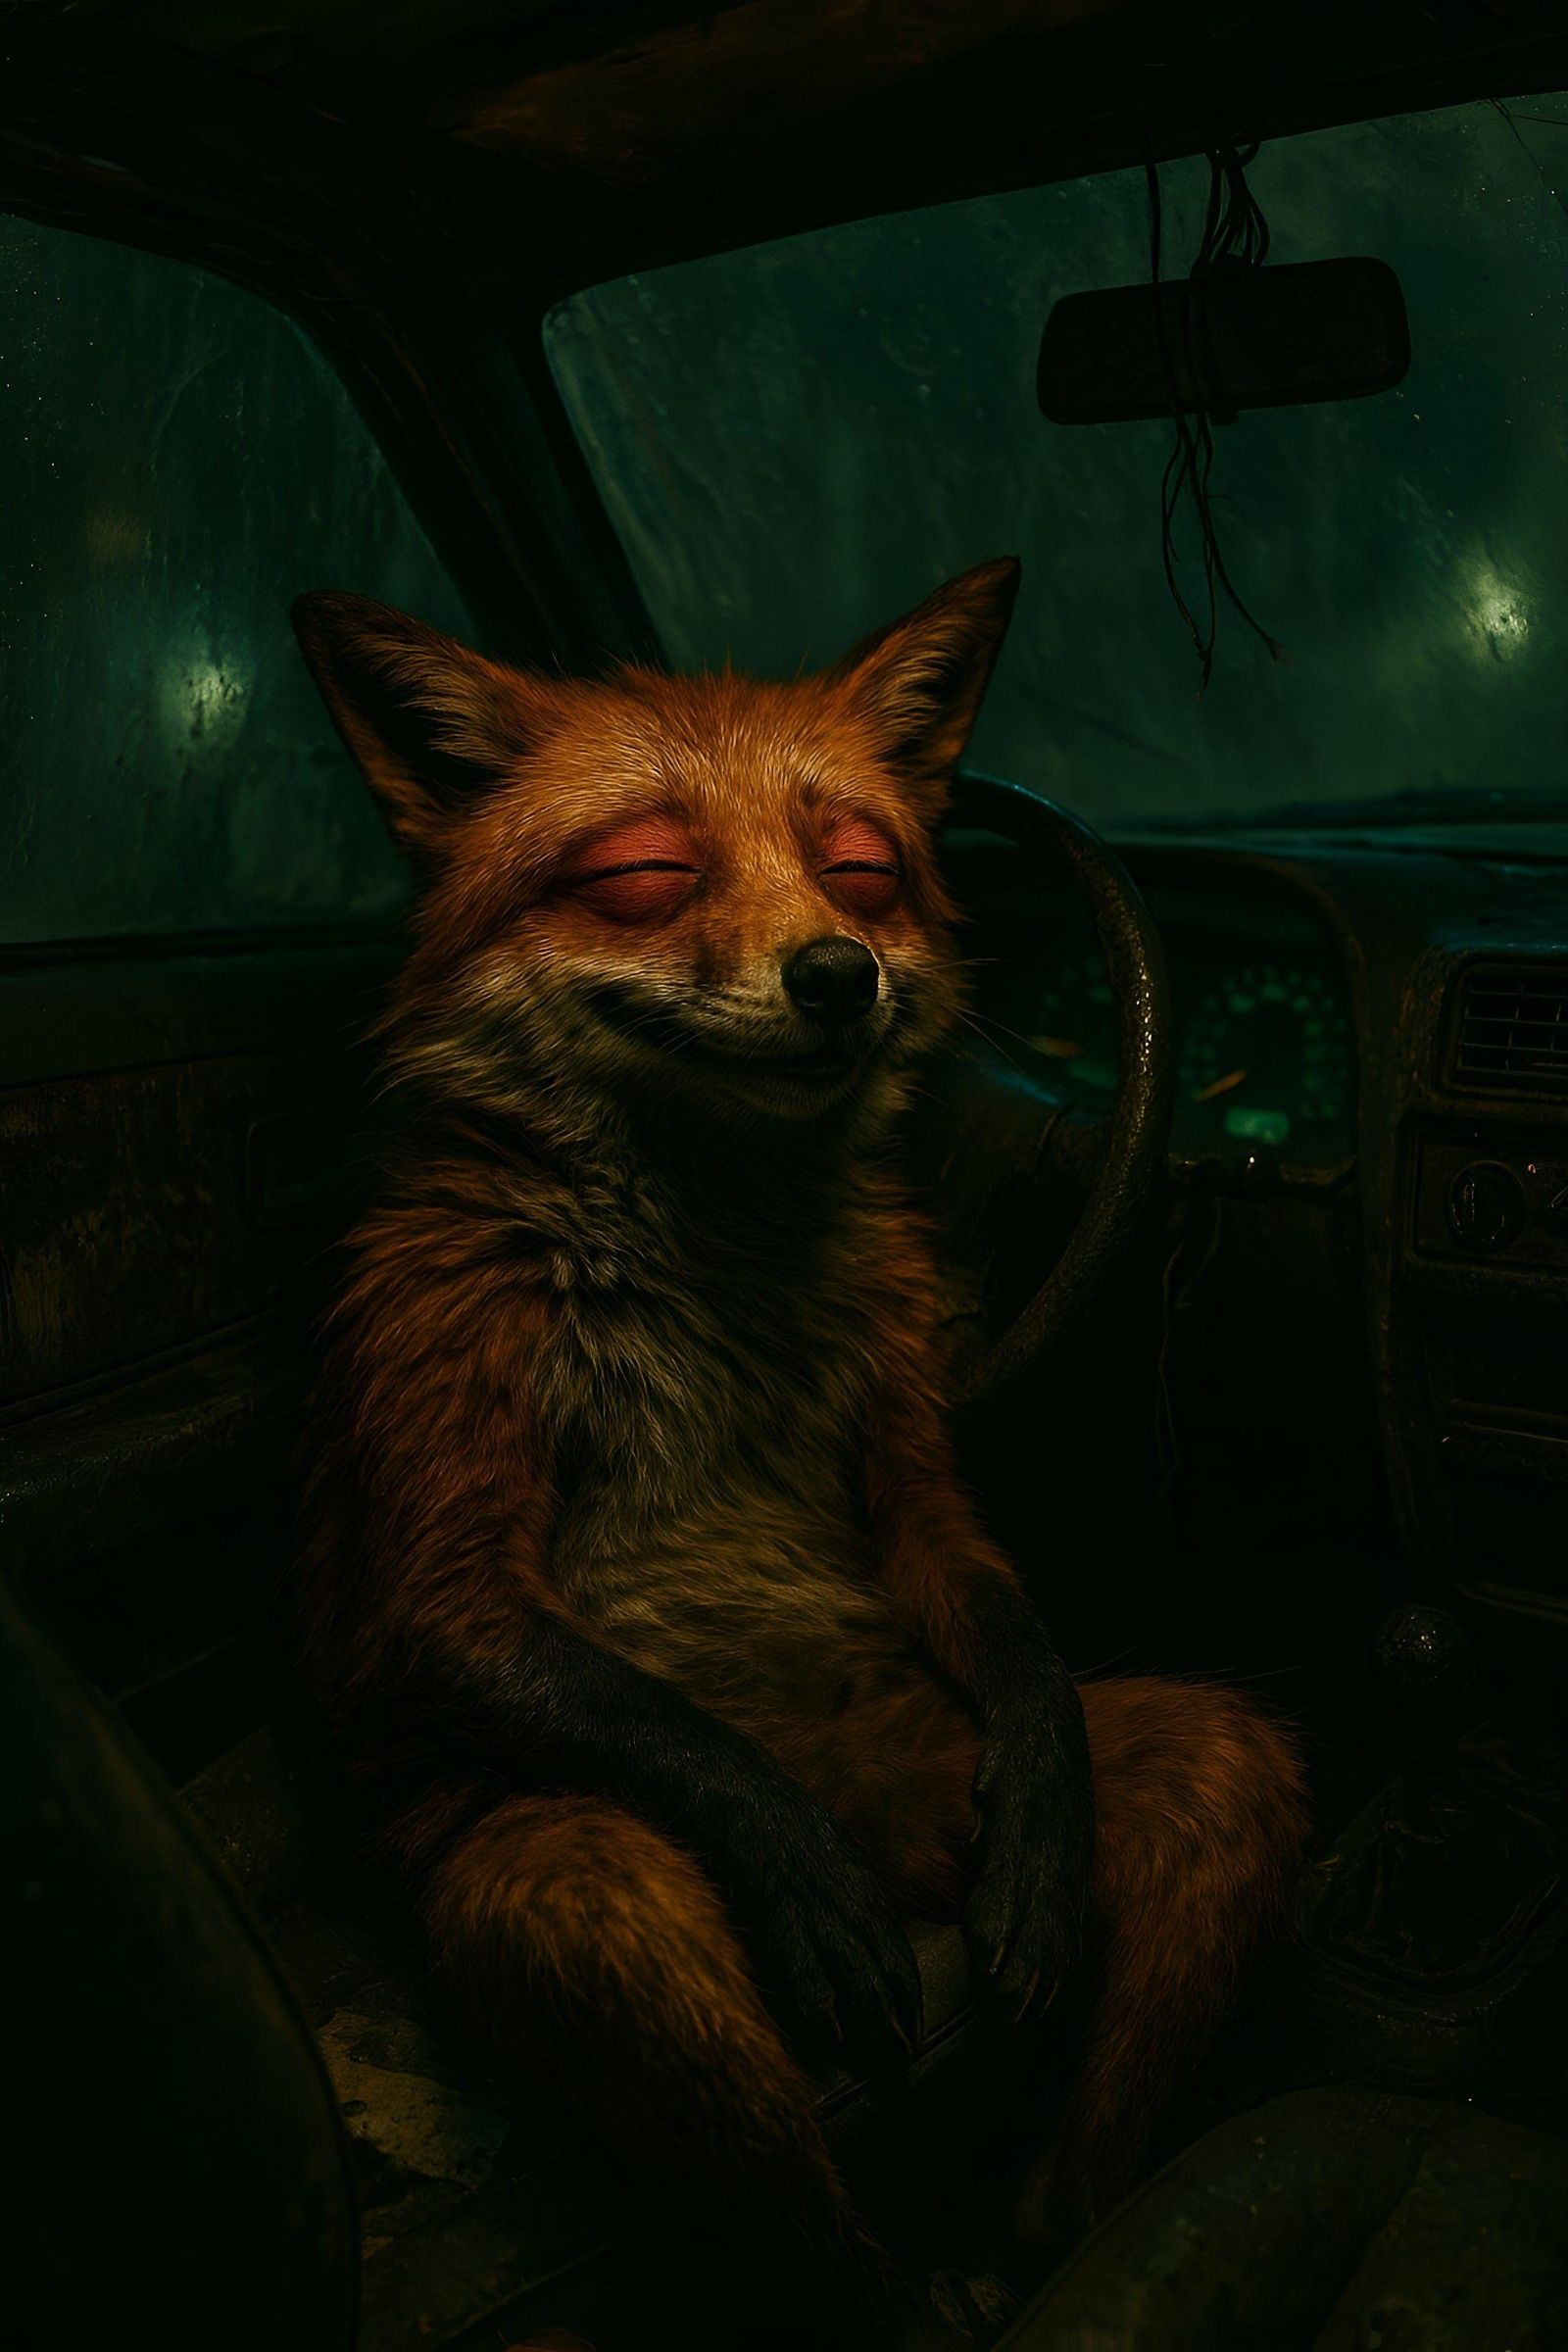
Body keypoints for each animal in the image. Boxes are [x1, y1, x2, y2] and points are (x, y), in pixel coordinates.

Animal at [290, 559, 1309, 2345]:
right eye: (645, 873)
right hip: (556, 1879)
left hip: (1031, 1769)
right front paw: (781, 1851)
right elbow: (521, 1649)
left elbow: (996, 1609)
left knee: (1197, 1798)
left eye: (858, 866)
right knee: (653, 1974)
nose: (841, 976)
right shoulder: (441, 1377)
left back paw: (1046, 2248)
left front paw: (1046, 1819)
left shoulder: (907, 1422)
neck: (711, 1253)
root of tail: (875, 1814)